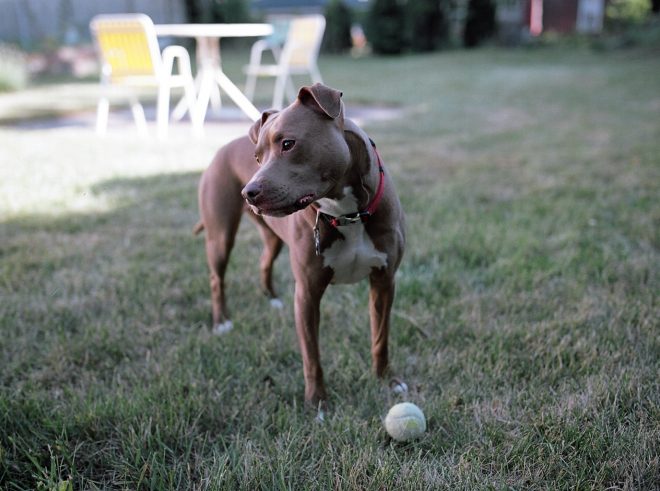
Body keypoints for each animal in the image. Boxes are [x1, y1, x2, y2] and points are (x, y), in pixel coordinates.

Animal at [193, 83, 404, 412]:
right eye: (257, 158)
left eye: (288, 144)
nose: (248, 192)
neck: (347, 213)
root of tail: (222, 149)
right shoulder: (307, 293)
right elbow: (312, 356)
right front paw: (317, 403)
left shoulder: (383, 282)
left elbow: (380, 338)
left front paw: (387, 382)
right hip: (220, 236)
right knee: (217, 278)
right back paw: (222, 322)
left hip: (271, 237)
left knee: (264, 260)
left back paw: (271, 299)